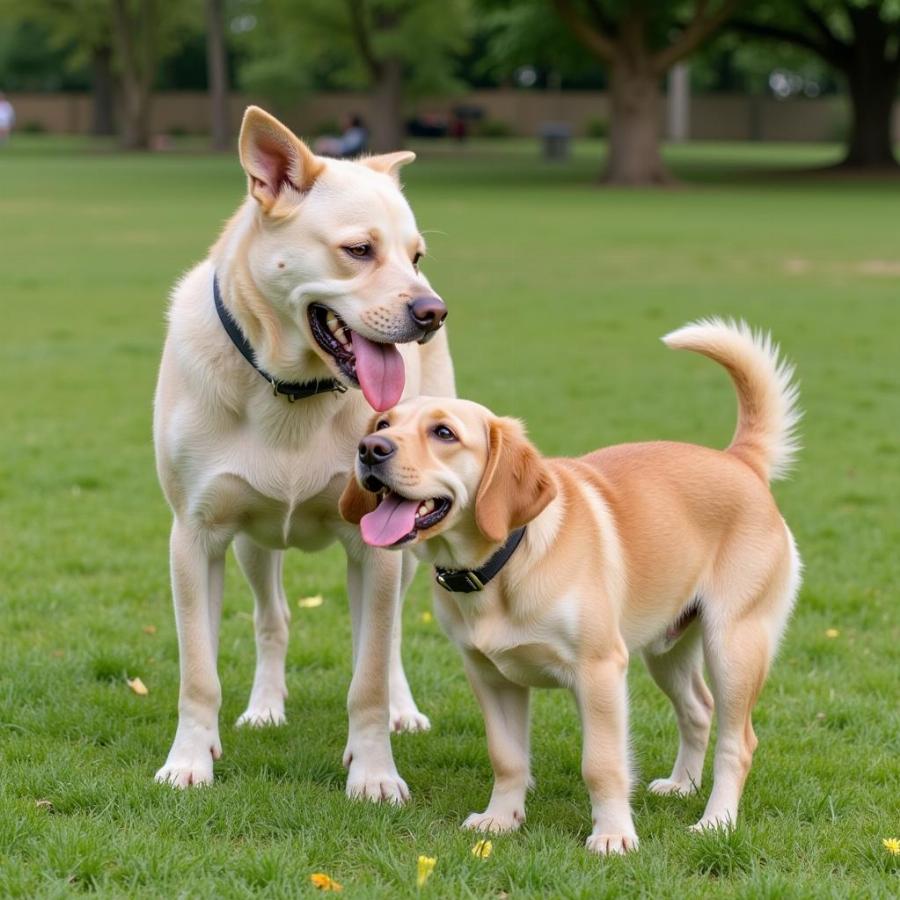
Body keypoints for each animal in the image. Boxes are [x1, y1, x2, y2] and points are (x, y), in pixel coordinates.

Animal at [154, 107, 454, 800]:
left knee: (390, 638)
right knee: (274, 617)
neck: (292, 391)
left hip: (410, 540)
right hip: (252, 543)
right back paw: (265, 706)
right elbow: (199, 671)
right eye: (359, 250)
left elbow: (368, 674)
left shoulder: (377, 549)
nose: (434, 312)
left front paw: (373, 772)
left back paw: (402, 712)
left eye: (416, 255)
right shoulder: (195, 536)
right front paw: (190, 760)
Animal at [342, 322, 800, 852]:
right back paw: (682, 785)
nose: (370, 450)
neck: (504, 563)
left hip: (734, 644)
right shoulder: (491, 676)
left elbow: (601, 765)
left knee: (738, 741)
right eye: (381, 424)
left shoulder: (599, 671)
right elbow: (507, 758)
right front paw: (501, 819)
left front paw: (613, 836)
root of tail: (740, 460)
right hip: (667, 650)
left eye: (444, 433)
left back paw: (717, 820)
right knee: (698, 710)